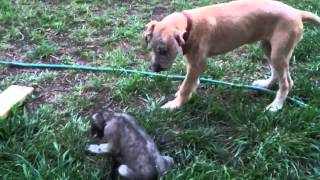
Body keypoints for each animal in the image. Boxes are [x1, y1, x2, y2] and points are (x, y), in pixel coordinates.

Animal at [143, 0, 320, 112]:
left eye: (163, 51)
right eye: (152, 48)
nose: (155, 69)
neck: (190, 23)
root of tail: (296, 12)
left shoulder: (198, 62)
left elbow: (186, 86)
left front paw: (176, 104)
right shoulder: (192, 61)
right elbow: (190, 81)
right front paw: (189, 90)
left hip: (279, 53)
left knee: (287, 82)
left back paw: (276, 105)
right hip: (267, 46)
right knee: (276, 73)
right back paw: (265, 85)